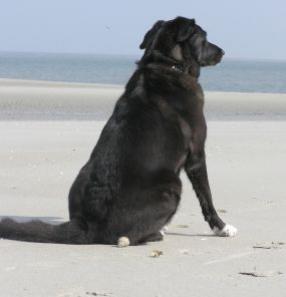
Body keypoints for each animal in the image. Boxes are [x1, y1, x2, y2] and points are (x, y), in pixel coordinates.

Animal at [0, 17, 237, 246]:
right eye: (204, 37)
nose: (223, 52)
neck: (166, 65)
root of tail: (89, 225)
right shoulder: (196, 154)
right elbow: (206, 196)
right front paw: (222, 227)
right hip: (172, 186)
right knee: (129, 237)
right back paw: (153, 234)